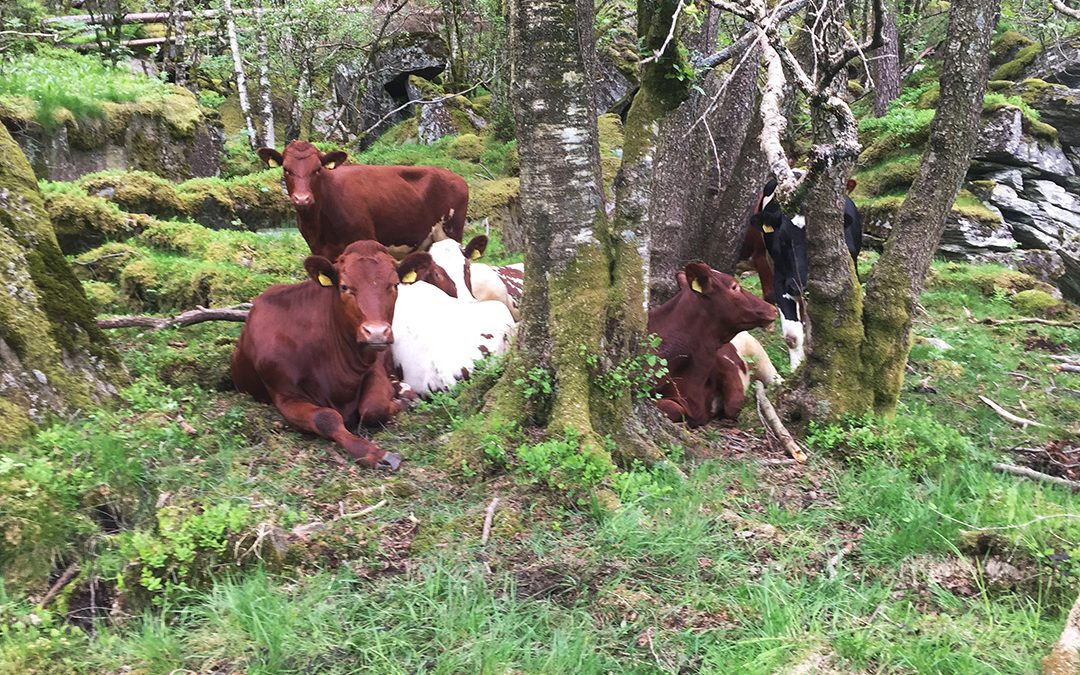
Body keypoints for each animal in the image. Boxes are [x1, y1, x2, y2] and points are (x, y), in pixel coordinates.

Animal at [232, 240, 406, 468]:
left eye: (394, 285)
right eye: (344, 286)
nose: (376, 332)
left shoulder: (372, 367)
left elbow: (373, 408)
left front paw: (396, 403)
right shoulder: (284, 395)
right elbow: (325, 418)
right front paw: (372, 453)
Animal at [259, 140, 470, 259]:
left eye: (317, 169)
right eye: (286, 169)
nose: (302, 199)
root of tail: (457, 178)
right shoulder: (319, 250)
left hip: (450, 233)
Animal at [643, 260, 781, 423]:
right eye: (734, 286)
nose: (772, 309)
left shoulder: (725, 363)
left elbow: (733, 405)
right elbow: (673, 408)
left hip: (763, 361)